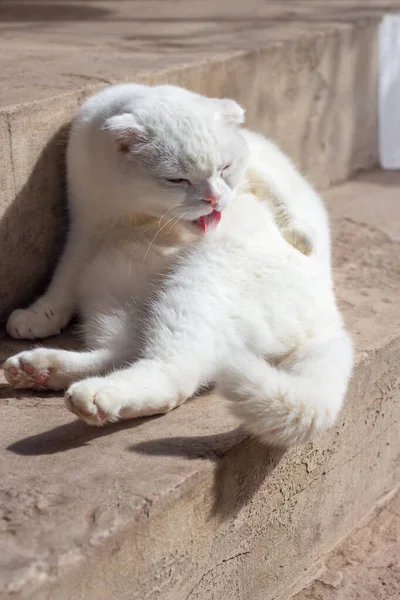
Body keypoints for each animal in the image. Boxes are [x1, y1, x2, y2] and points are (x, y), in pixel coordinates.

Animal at [3, 85, 354, 450]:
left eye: (225, 168)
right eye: (178, 180)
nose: (214, 199)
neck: (140, 215)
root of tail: (329, 322)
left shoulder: (259, 161)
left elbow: (276, 192)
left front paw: (302, 236)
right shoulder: (85, 227)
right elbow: (63, 278)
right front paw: (39, 315)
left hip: (197, 287)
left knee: (174, 374)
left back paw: (94, 395)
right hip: (110, 292)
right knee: (126, 353)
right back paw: (40, 369)